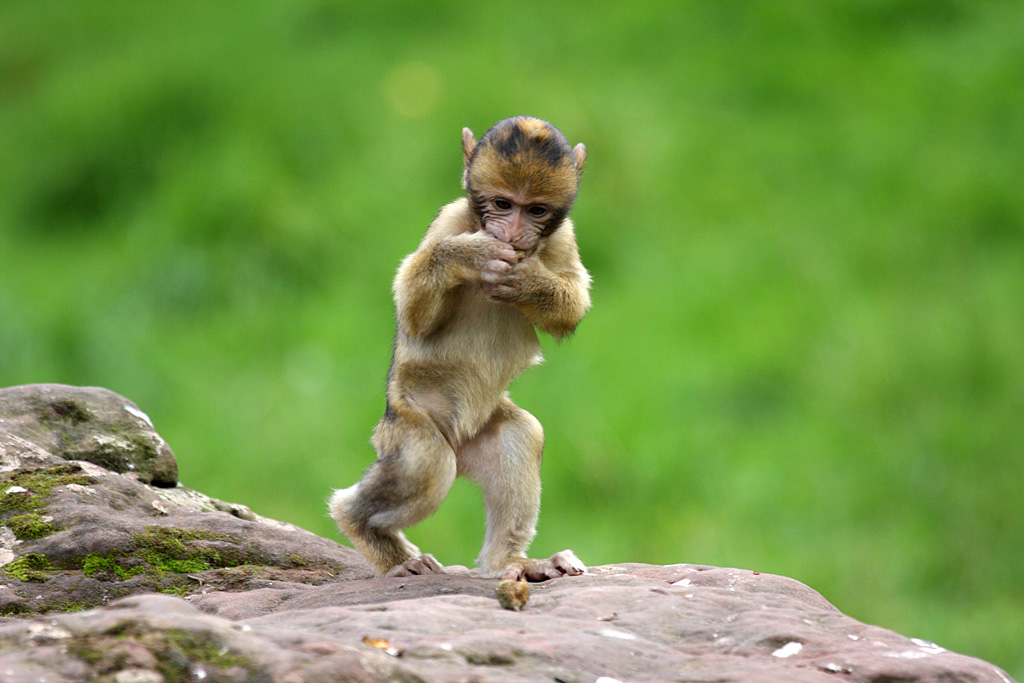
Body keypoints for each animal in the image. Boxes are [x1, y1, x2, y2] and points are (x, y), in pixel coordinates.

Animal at [329, 116, 590, 582]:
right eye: (503, 204)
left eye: (536, 210)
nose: (514, 234)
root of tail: (460, 439)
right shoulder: (450, 219)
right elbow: (413, 310)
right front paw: (470, 256)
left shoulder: (562, 237)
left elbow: (572, 306)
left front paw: (526, 281)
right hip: (404, 424)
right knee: (427, 467)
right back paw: (370, 534)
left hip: (484, 429)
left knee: (521, 436)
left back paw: (511, 562)